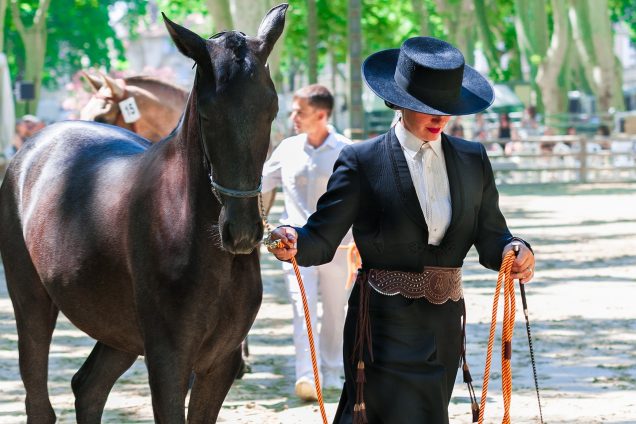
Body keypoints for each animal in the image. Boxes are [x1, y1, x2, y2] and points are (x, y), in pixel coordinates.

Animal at [0, 4, 286, 424]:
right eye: (206, 113)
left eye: (271, 107)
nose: (243, 231)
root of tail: (31, 148)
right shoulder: (168, 361)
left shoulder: (219, 363)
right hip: (31, 303)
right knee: (40, 401)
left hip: (117, 330)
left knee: (88, 387)